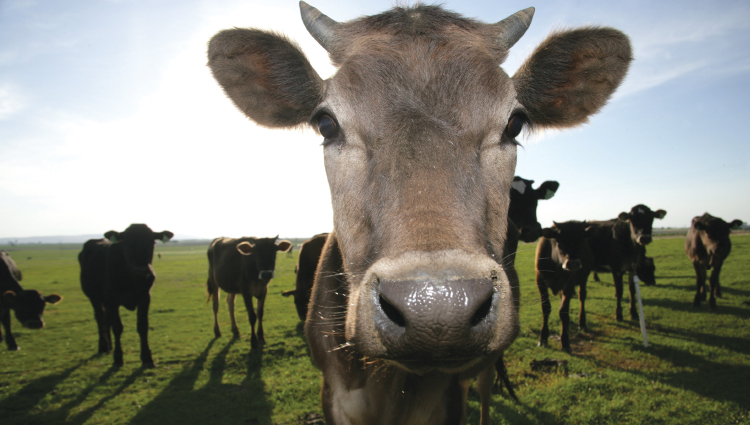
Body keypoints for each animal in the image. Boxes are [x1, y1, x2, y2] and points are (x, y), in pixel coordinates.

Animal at [79, 224, 173, 366]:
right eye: (127, 244)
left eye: (152, 243)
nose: (142, 271)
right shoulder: (111, 301)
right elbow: (117, 327)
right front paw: (118, 358)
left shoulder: (145, 298)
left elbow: (143, 326)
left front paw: (147, 357)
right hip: (94, 298)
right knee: (100, 318)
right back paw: (104, 346)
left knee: (106, 320)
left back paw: (109, 346)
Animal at [536, 222, 596, 352]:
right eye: (559, 241)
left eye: (581, 240)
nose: (573, 264)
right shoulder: (540, 282)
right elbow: (545, 308)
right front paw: (543, 338)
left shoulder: (569, 284)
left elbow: (563, 311)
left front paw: (565, 341)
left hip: (583, 277)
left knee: (582, 296)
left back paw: (581, 323)